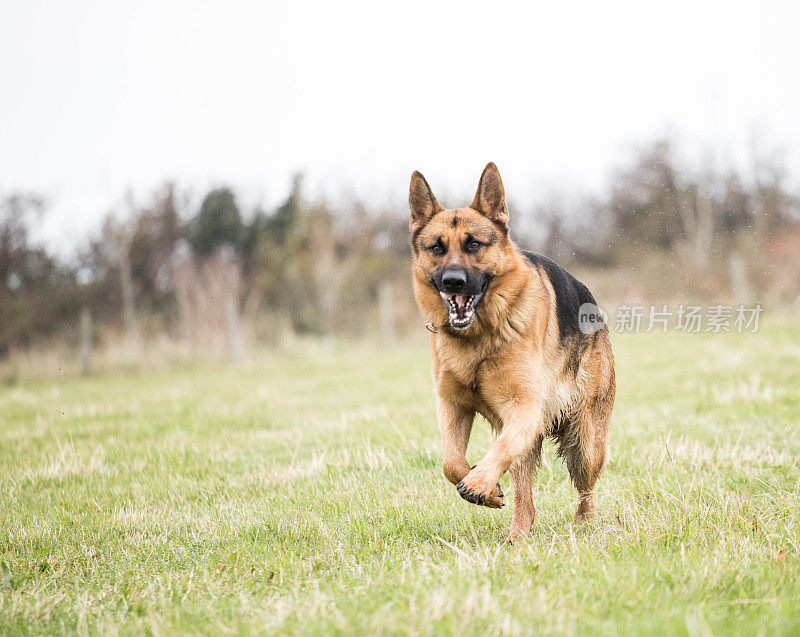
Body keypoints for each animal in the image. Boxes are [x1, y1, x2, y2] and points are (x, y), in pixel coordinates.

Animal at [410, 164, 616, 540]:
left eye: (474, 244)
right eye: (436, 247)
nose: (453, 281)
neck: (477, 338)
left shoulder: (523, 408)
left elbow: (499, 450)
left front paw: (478, 484)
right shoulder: (453, 406)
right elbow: (451, 462)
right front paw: (486, 488)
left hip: (586, 443)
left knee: (586, 488)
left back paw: (584, 523)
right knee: (525, 497)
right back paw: (518, 534)